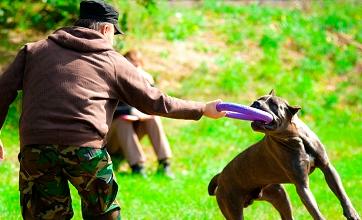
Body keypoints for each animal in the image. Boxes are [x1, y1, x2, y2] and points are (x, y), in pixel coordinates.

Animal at [208, 90, 360, 219]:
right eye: (259, 99)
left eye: (273, 105)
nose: (256, 103)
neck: (295, 137)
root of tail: (220, 176)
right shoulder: (302, 185)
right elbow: (315, 210)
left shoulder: (327, 168)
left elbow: (341, 193)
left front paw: (351, 213)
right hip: (232, 207)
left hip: (280, 196)